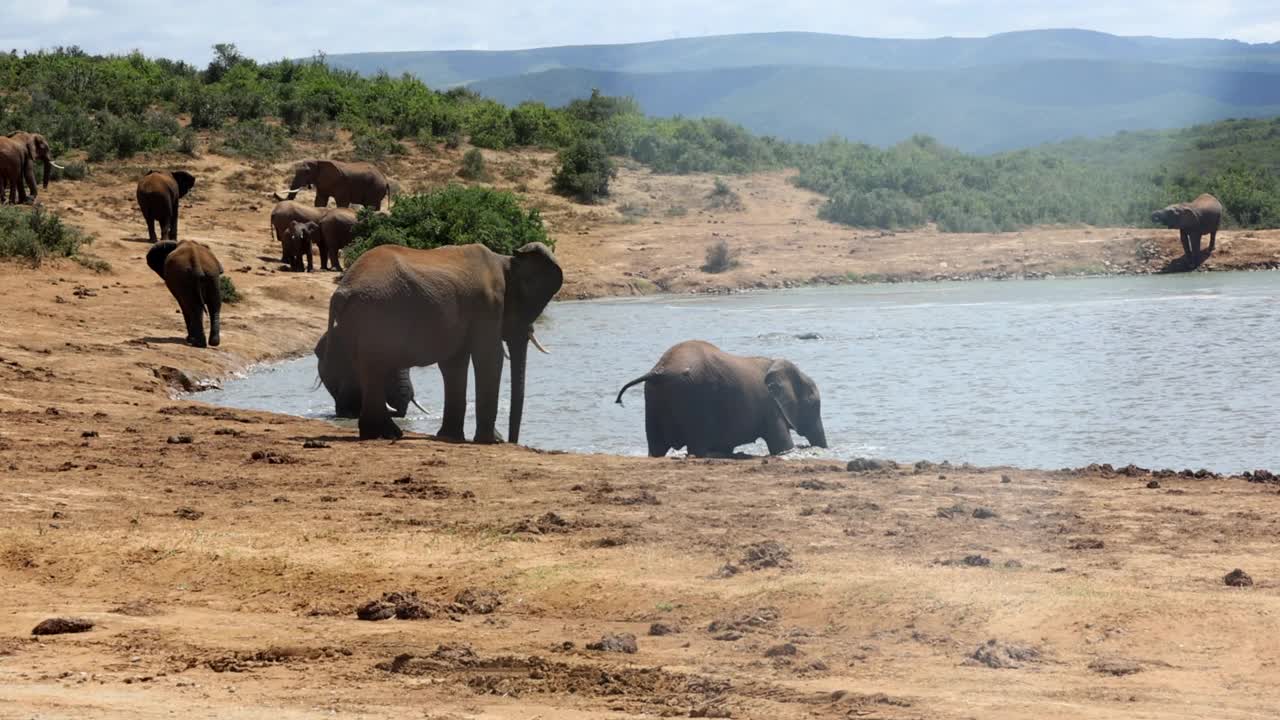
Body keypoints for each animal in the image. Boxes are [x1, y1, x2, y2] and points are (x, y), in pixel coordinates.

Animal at [320, 240, 560, 440]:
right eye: (526, 307)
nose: (512, 441)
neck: (506, 261)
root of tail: (341, 291)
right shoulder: (488, 305)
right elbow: (489, 357)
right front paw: (490, 441)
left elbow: (454, 363)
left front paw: (451, 437)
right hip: (377, 312)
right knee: (376, 366)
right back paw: (387, 434)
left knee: (368, 368)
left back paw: (380, 434)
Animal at [616, 338, 829, 456]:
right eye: (813, 403)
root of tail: (658, 370)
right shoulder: (771, 407)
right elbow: (782, 446)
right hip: (694, 397)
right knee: (696, 445)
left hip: (653, 398)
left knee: (656, 448)